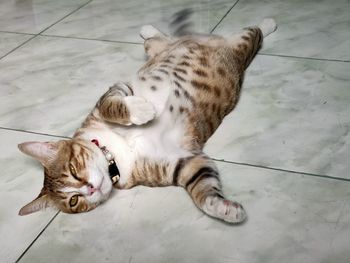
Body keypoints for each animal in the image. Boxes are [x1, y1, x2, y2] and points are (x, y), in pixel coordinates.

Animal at [18, 17, 276, 224]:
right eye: (73, 201)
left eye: (72, 169)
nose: (90, 189)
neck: (115, 153)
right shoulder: (181, 163)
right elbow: (203, 185)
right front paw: (223, 208)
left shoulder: (115, 92)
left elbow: (111, 105)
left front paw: (142, 111)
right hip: (160, 48)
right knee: (158, 39)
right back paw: (149, 30)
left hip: (242, 45)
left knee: (255, 31)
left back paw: (269, 22)